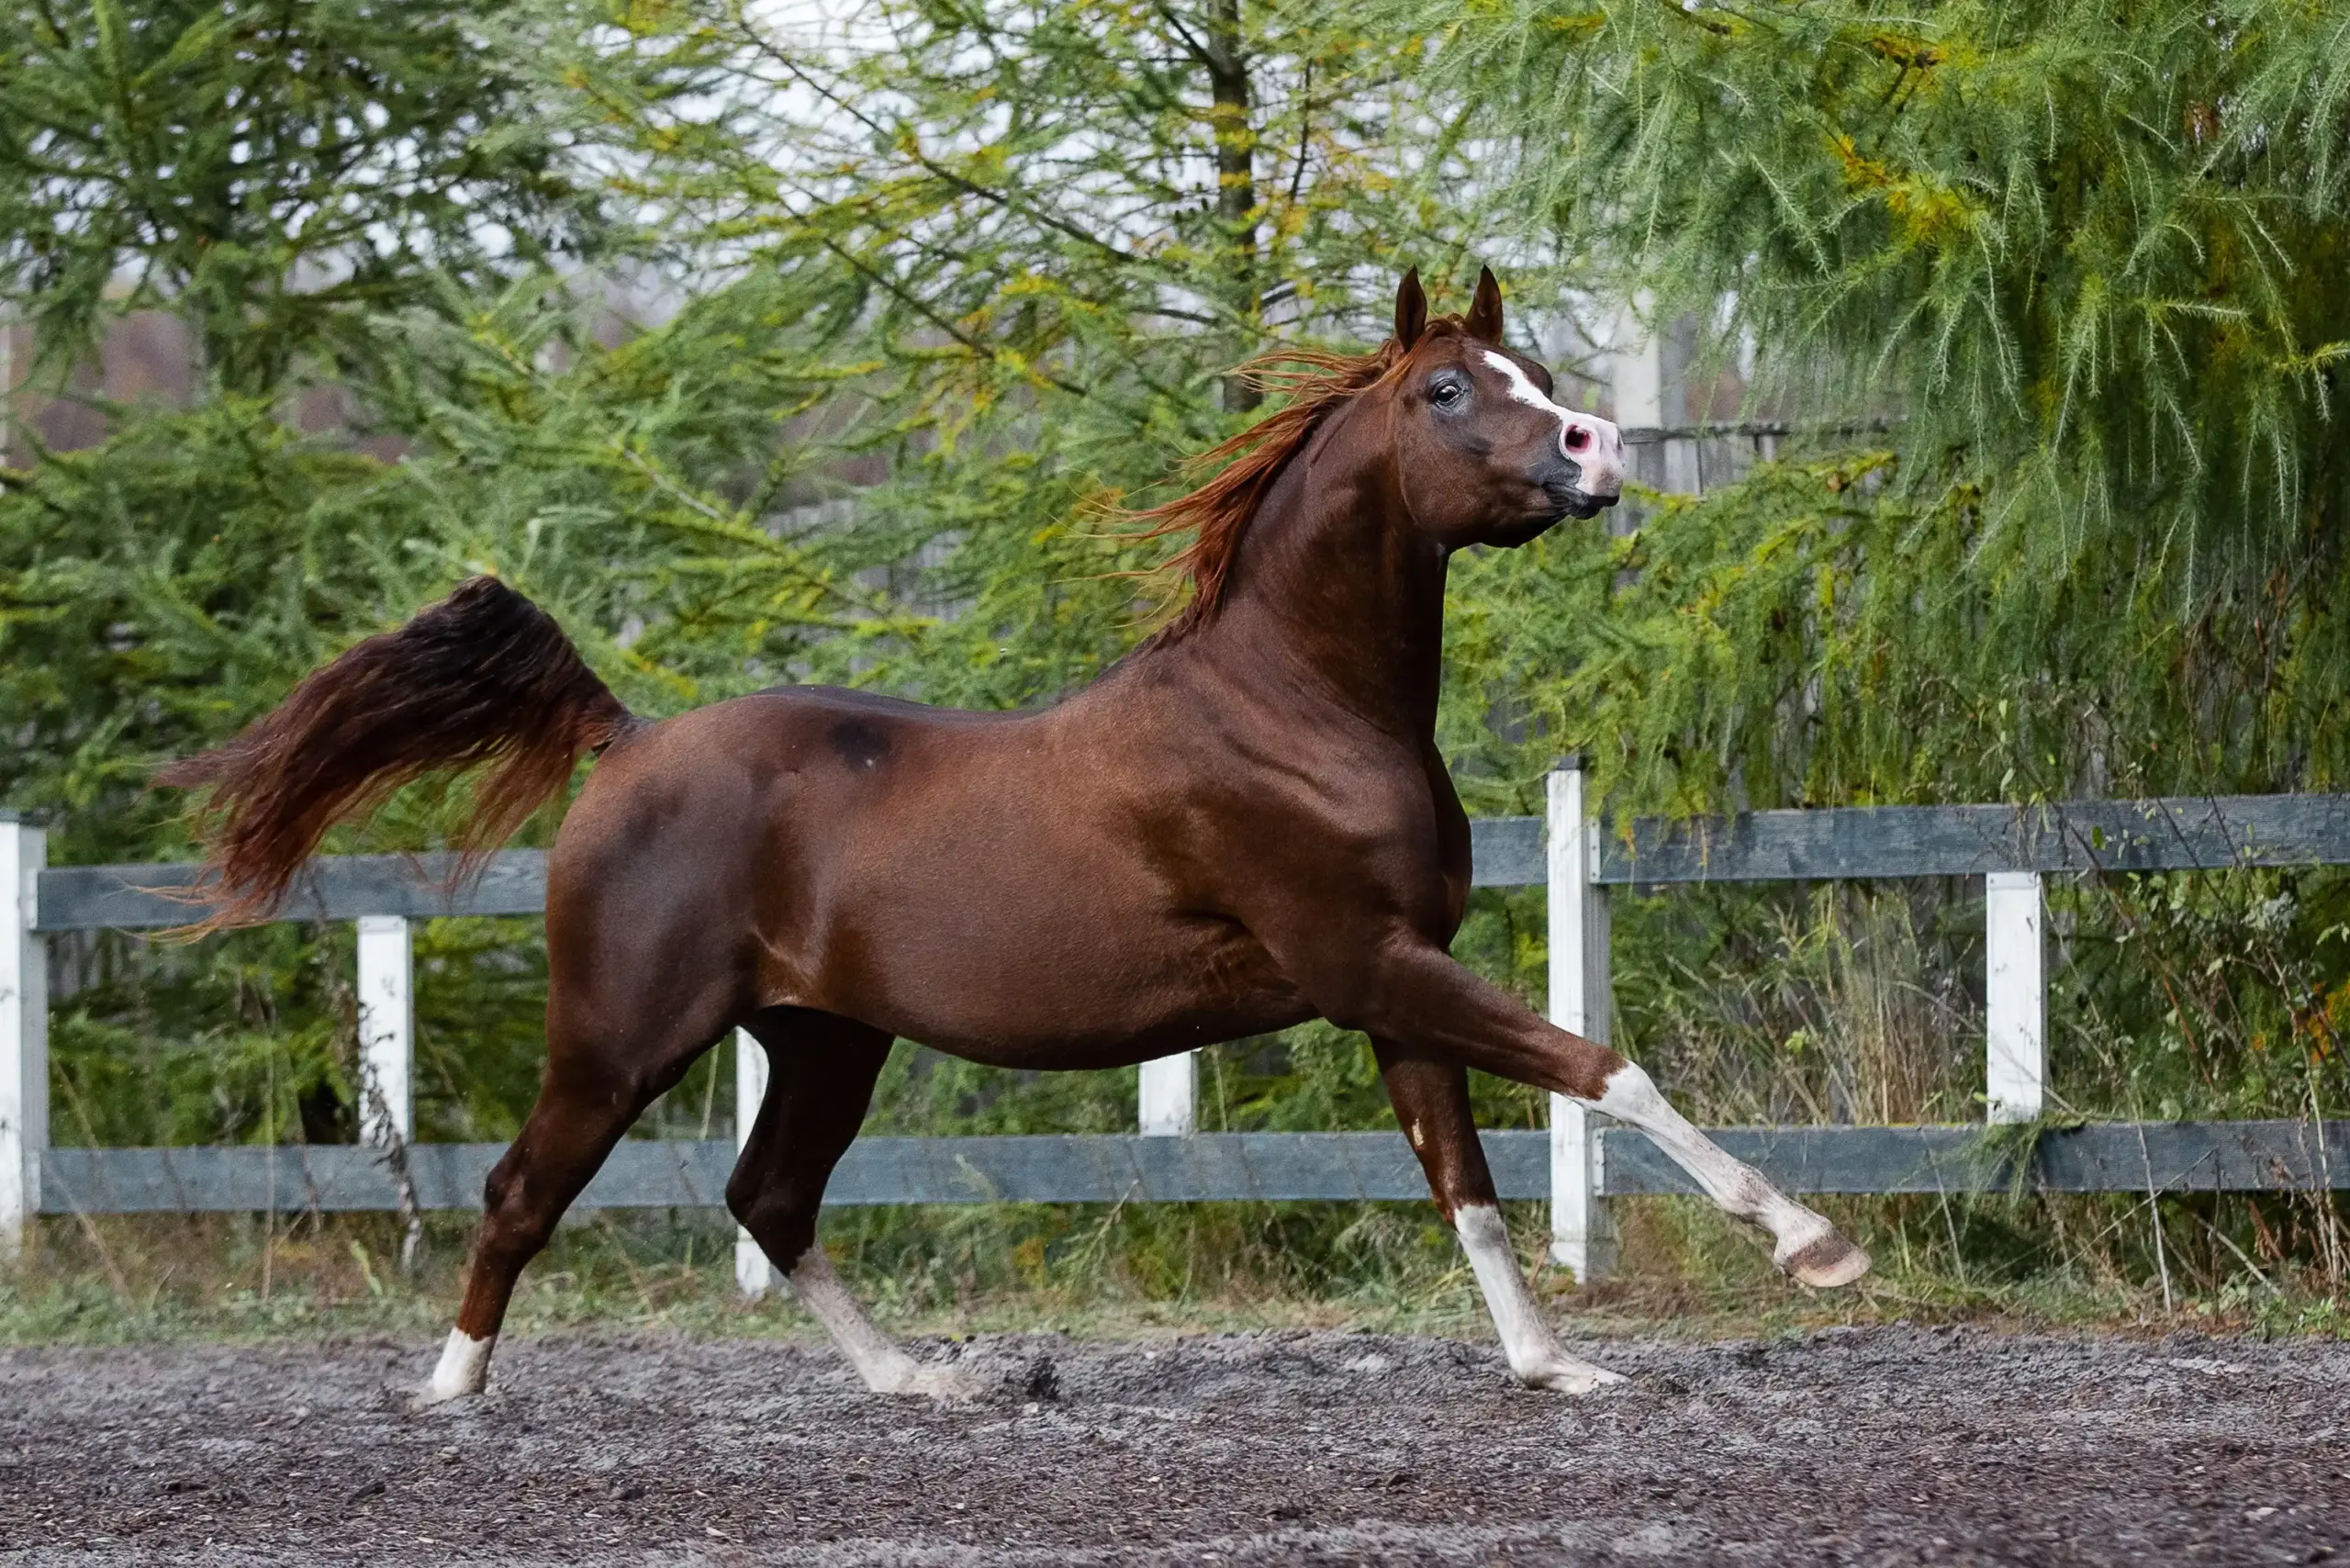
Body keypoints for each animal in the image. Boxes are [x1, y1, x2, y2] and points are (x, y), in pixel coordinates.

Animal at [161, 267, 1870, 1407]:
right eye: (1451, 390)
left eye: (1528, 367)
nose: (1597, 450)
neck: (1295, 707)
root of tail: (630, 741)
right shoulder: (1370, 963)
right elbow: (1603, 1068)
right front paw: (1812, 1244)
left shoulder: (1397, 985)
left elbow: (1470, 1185)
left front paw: (1553, 1366)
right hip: (620, 1036)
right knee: (528, 1189)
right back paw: (450, 1392)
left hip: (825, 1038)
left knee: (769, 1198)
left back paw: (921, 1381)